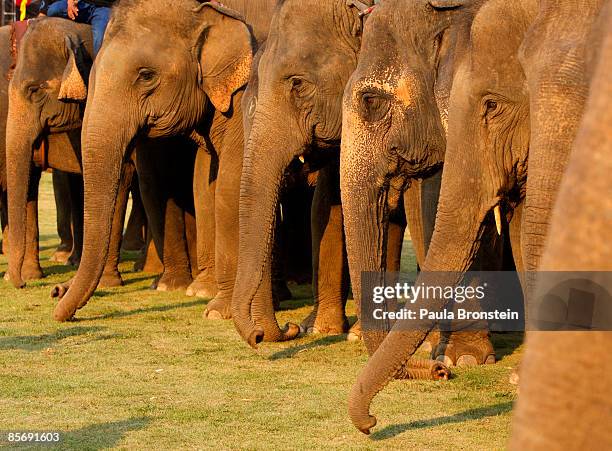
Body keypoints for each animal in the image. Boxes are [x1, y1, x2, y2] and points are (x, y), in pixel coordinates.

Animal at [52, 0, 278, 324]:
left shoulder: (248, 90)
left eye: (146, 75)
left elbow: (231, 182)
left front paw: (217, 311)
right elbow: (203, 181)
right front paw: (200, 292)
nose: (56, 293)